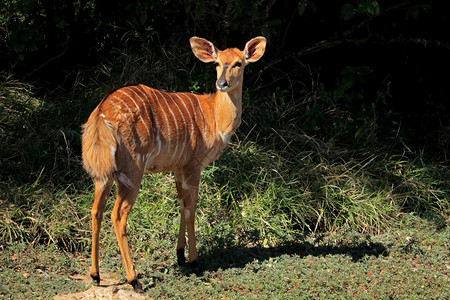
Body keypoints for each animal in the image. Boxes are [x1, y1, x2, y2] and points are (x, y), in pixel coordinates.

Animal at [81, 36, 266, 292]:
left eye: (239, 63)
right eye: (217, 63)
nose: (222, 83)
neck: (213, 116)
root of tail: (101, 114)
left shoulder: (178, 168)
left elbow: (180, 205)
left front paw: (179, 255)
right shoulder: (193, 166)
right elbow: (191, 208)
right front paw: (194, 261)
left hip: (104, 175)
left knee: (96, 210)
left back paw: (95, 275)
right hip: (133, 171)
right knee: (118, 215)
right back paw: (134, 280)